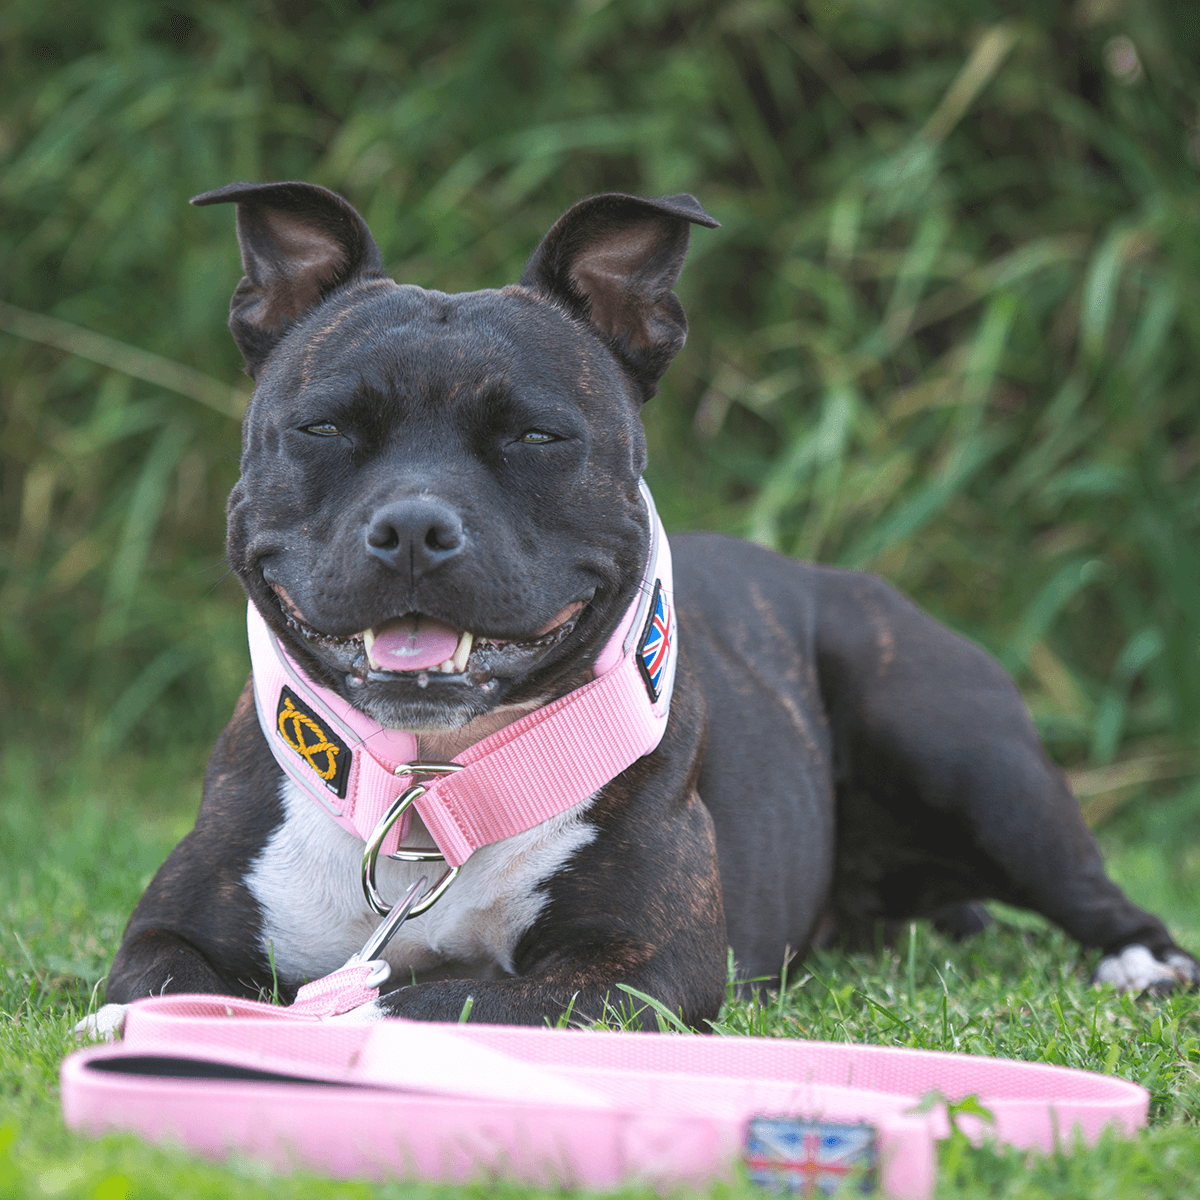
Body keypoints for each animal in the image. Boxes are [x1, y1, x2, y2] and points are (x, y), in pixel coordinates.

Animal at [88, 182, 1195, 1036]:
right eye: (322, 427)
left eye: (536, 436)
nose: (412, 526)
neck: (433, 792)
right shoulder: (168, 930)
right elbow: (157, 982)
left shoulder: (636, 969)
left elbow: (431, 998)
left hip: (961, 747)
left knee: (1093, 890)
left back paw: (1143, 963)